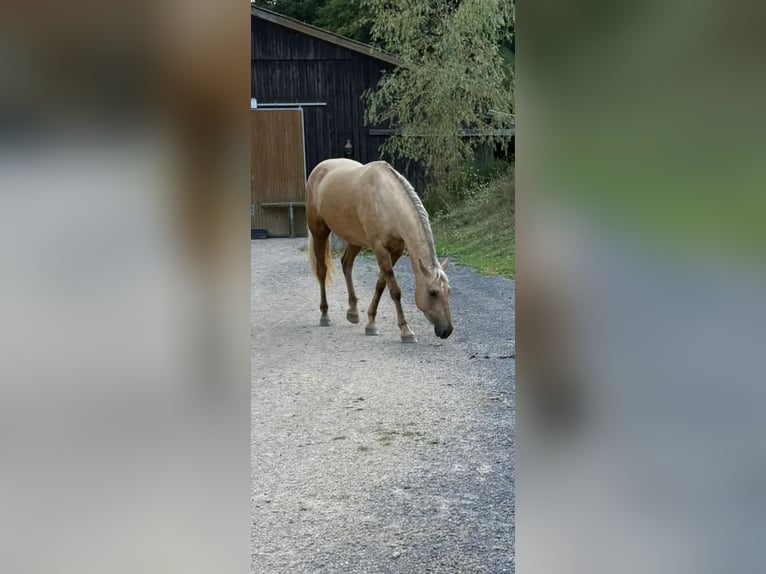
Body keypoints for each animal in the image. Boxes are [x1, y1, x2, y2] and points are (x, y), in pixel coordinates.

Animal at [305, 158, 453, 343]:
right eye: (432, 293)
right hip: (319, 232)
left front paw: (371, 323)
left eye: (448, 291)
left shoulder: (396, 251)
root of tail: (318, 169)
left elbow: (381, 285)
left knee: (346, 264)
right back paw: (325, 315)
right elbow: (395, 291)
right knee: (322, 271)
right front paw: (405, 331)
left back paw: (353, 312)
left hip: (355, 240)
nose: (447, 330)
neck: (386, 200)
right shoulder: (380, 250)